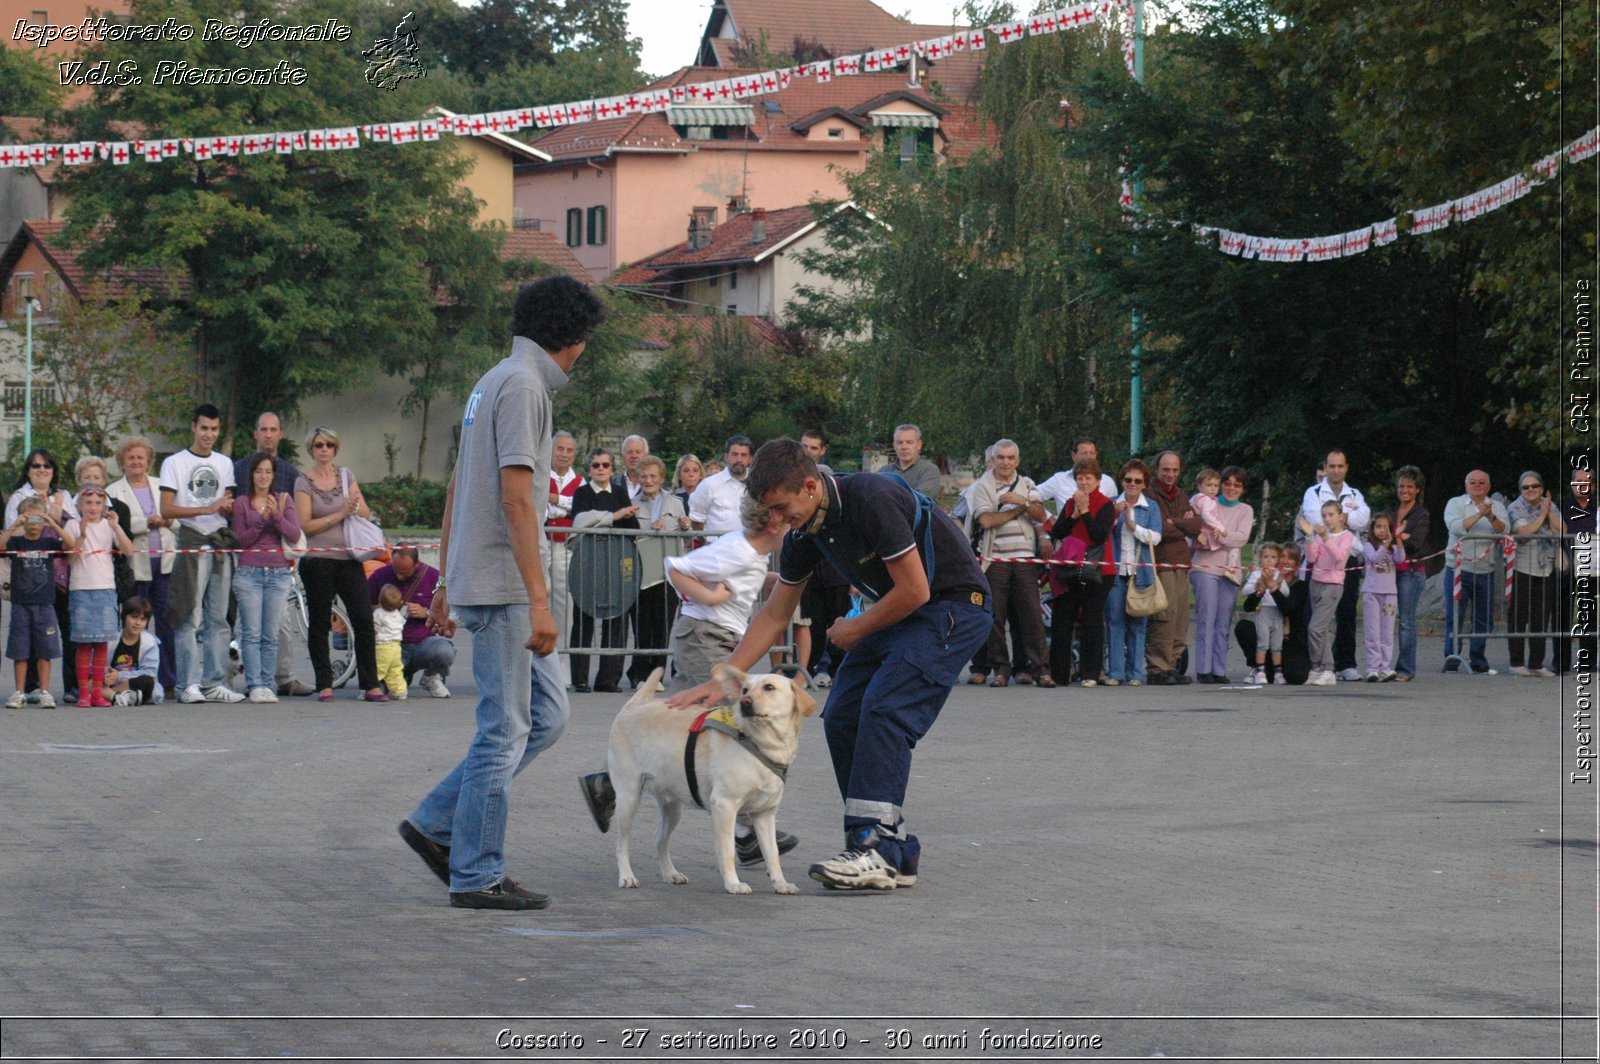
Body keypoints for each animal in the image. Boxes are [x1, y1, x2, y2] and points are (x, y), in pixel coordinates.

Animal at [608, 659, 819, 889]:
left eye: (769, 687)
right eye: (745, 690)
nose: (744, 702)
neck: (761, 744)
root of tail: (634, 705)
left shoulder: (765, 813)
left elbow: (772, 854)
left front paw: (781, 884)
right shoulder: (724, 805)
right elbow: (727, 852)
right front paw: (733, 884)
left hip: (672, 807)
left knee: (659, 839)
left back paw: (670, 873)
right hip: (628, 799)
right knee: (620, 844)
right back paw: (627, 876)